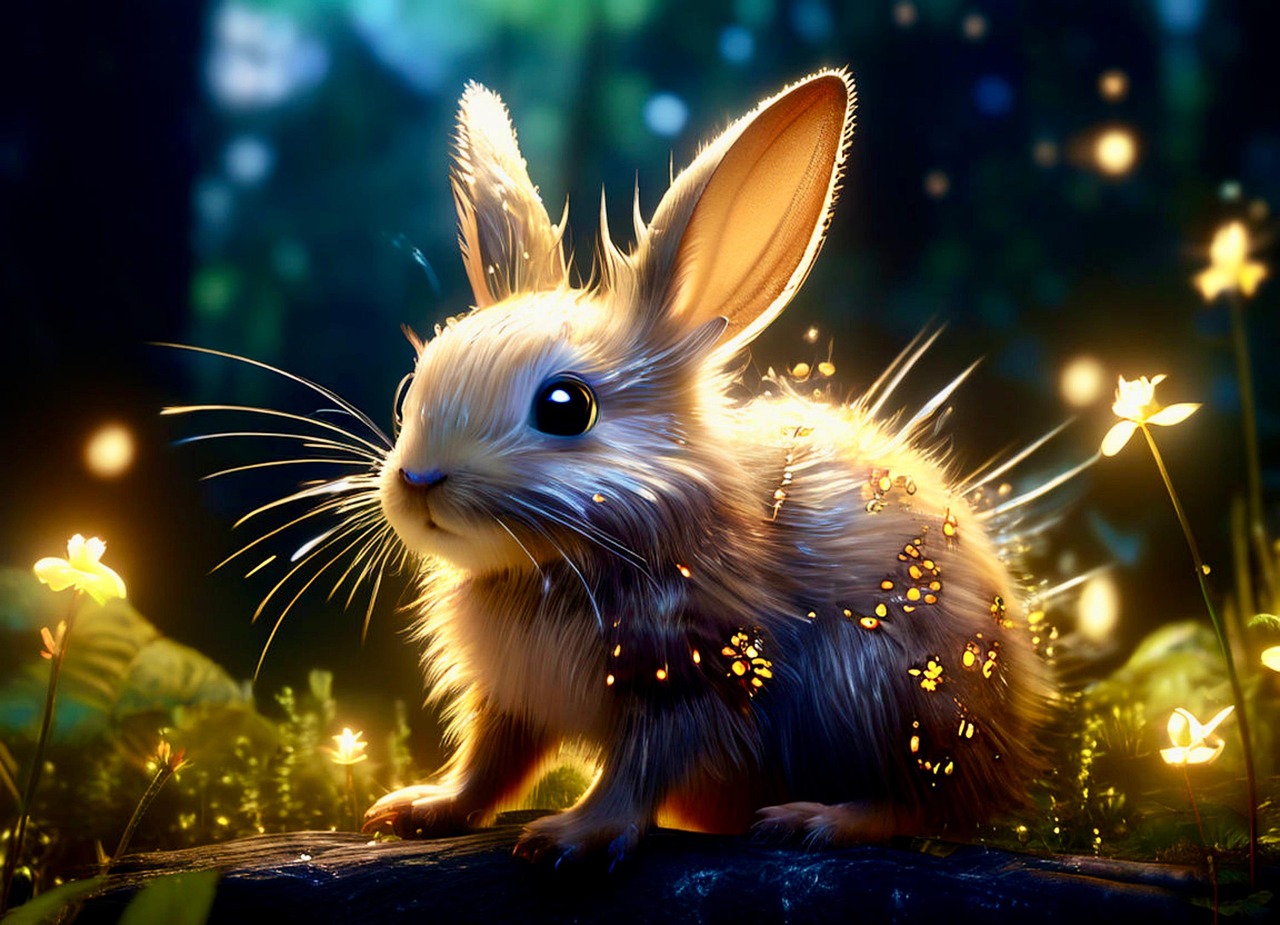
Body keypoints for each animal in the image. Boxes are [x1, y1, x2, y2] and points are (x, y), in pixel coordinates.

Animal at [360, 68, 1056, 866]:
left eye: (567, 406)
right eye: (413, 385)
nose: (417, 482)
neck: (567, 559)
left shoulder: (695, 675)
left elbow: (639, 769)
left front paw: (571, 837)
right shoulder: (511, 698)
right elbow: (489, 764)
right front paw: (419, 807)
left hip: (887, 694)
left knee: (922, 804)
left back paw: (817, 819)